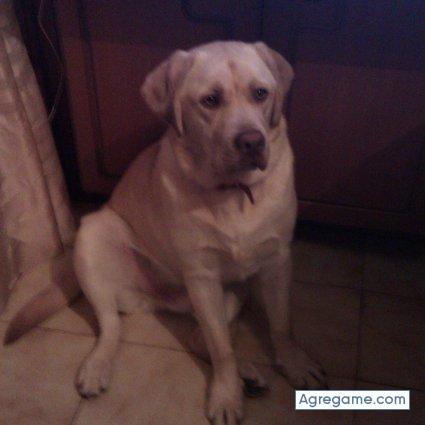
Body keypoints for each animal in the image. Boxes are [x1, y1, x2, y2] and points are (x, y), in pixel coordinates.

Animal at [72, 41, 326, 424]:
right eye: (210, 100)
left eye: (260, 93)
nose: (252, 141)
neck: (235, 192)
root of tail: (164, 298)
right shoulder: (202, 275)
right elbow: (221, 348)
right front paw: (225, 396)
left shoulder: (279, 258)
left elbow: (282, 323)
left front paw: (295, 363)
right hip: (93, 234)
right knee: (111, 325)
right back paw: (96, 368)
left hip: (233, 294)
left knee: (197, 337)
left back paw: (247, 375)